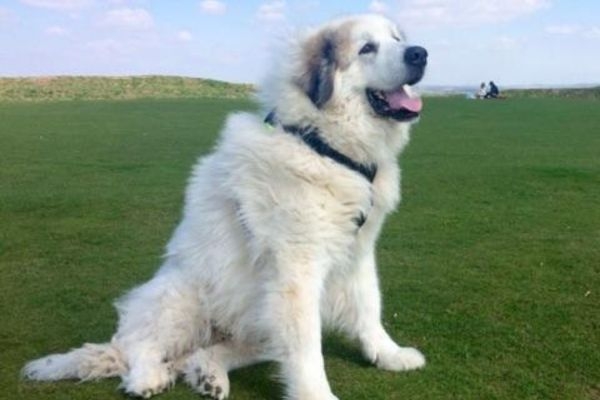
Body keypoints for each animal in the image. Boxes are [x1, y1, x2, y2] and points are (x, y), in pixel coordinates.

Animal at [23, 13, 428, 400]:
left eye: (397, 39)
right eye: (366, 48)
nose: (419, 53)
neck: (323, 145)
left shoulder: (357, 252)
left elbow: (369, 306)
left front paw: (387, 354)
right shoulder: (296, 270)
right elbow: (307, 347)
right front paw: (317, 394)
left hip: (256, 326)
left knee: (199, 355)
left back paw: (208, 377)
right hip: (184, 296)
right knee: (139, 346)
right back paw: (147, 379)